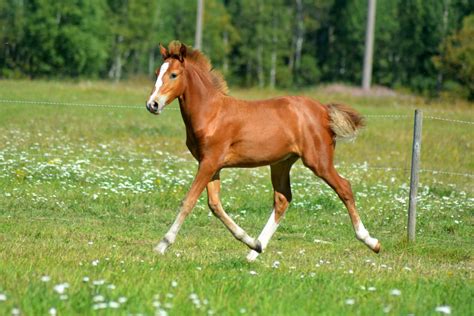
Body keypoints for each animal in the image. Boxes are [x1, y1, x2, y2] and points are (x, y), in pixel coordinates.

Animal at [146, 40, 380, 260]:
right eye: (157, 73)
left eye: (174, 74)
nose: (152, 105)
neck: (212, 113)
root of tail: (323, 109)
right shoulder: (212, 166)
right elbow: (215, 205)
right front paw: (249, 241)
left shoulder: (209, 162)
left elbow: (188, 201)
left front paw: (162, 245)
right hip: (281, 163)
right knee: (283, 199)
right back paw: (255, 251)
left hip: (318, 161)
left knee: (344, 187)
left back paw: (371, 241)